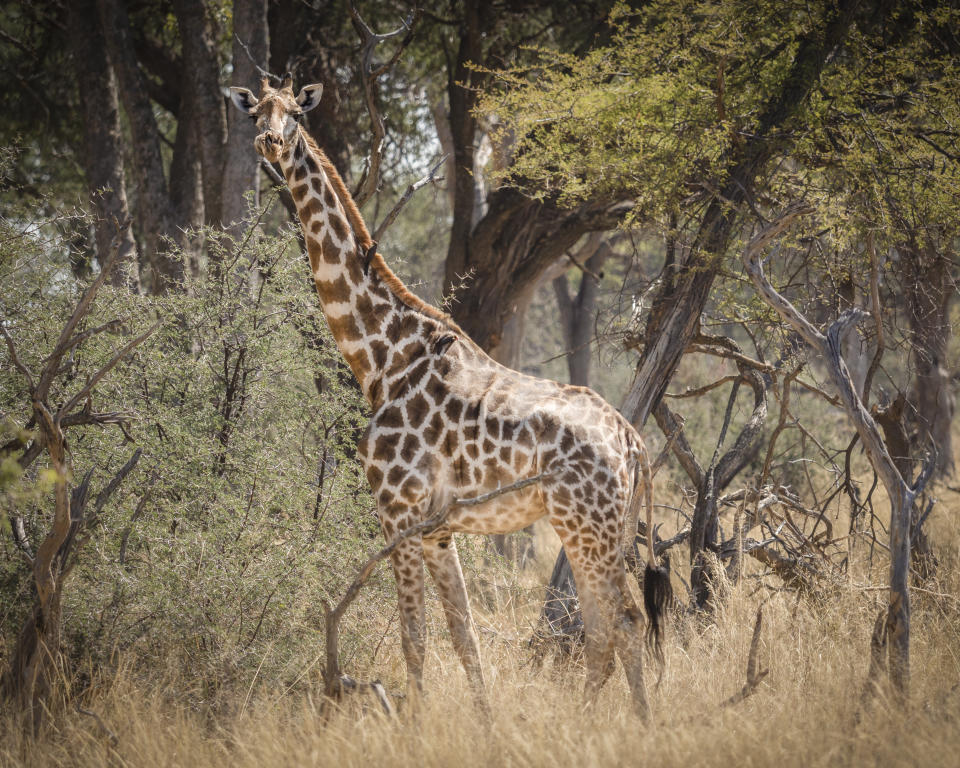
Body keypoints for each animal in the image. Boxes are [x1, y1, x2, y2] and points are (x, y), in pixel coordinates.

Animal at [229, 75, 672, 716]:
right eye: (256, 112)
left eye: (295, 114)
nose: (269, 142)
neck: (383, 360)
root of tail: (634, 442)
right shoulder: (438, 528)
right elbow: (463, 638)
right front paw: (483, 723)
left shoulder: (397, 510)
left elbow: (414, 637)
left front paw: (412, 723)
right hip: (595, 527)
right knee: (604, 628)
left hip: (587, 524)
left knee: (625, 622)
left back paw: (627, 723)